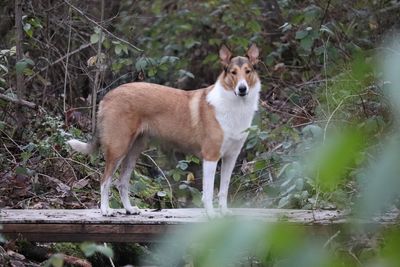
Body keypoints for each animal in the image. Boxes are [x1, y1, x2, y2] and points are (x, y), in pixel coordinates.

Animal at [68, 45, 262, 219]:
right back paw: (105, 210)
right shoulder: (210, 156)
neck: (234, 105)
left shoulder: (231, 157)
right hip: (118, 148)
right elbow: (208, 192)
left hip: (134, 150)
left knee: (121, 182)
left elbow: (223, 189)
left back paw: (130, 209)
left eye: (248, 71)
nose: (242, 89)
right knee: (105, 181)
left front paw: (224, 213)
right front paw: (211, 215)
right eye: (233, 72)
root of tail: (108, 95)